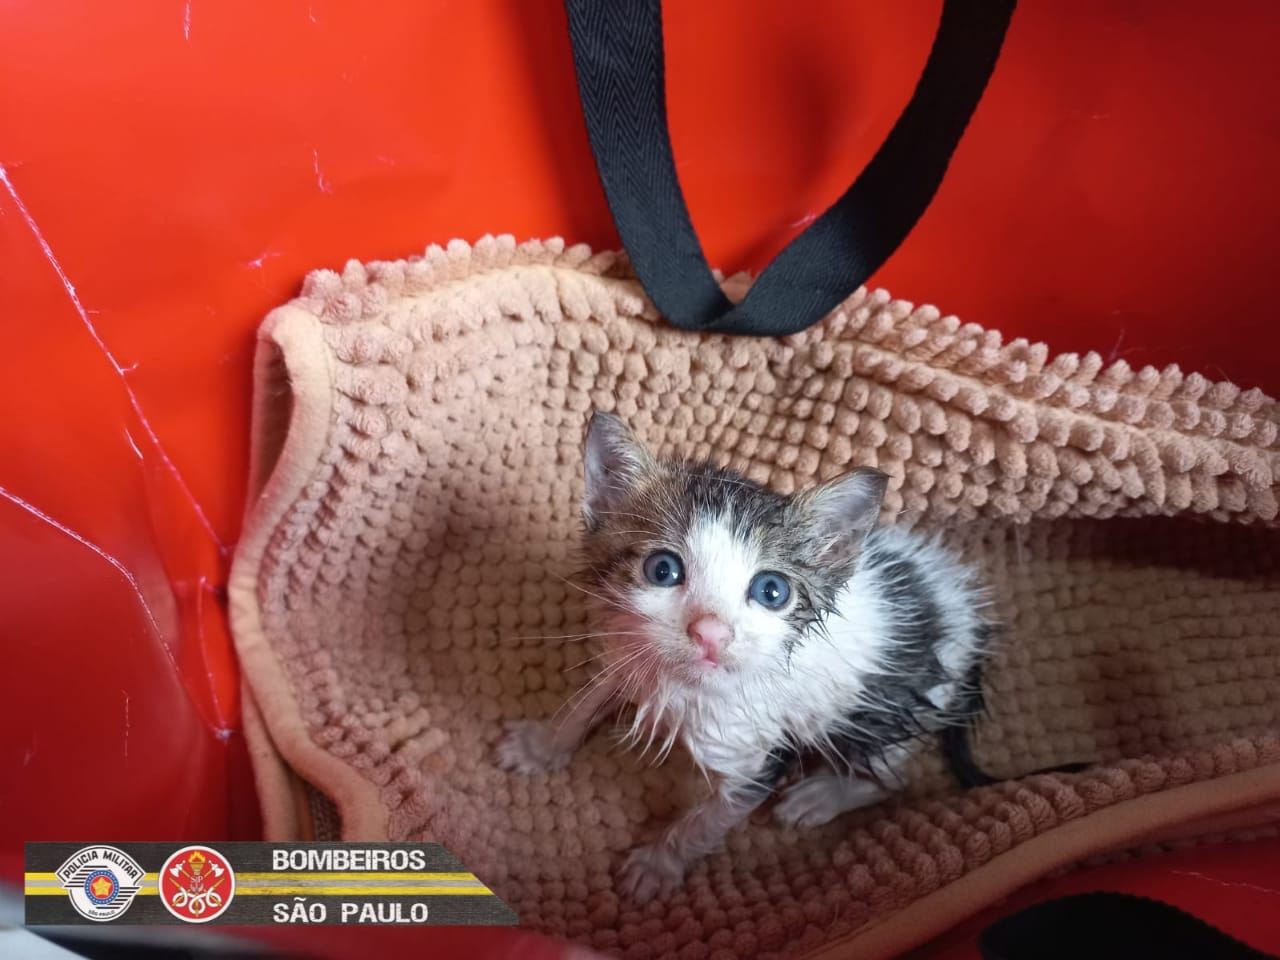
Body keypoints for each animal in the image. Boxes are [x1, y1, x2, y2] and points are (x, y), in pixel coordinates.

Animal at [496, 412, 988, 901]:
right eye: (662, 569)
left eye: (772, 591)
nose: (711, 632)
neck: (684, 685)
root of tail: (960, 610)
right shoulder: (630, 650)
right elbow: (587, 701)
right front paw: (541, 746)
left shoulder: (754, 753)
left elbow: (709, 819)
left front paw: (660, 863)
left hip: (885, 708)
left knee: (896, 776)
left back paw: (821, 797)